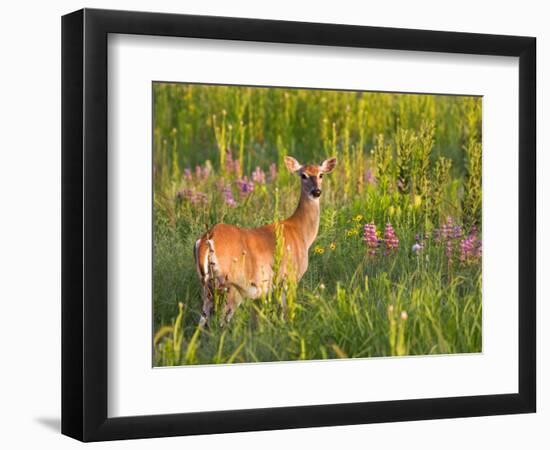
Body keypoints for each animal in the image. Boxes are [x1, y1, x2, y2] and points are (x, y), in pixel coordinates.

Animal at [196, 156, 338, 326]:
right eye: (303, 175)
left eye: (321, 174)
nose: (316, 191)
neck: (301, 232)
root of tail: (207, 238)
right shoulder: (290, 276)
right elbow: (287, 312)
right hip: (230, 283)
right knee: (222, 320)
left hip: (207, 285)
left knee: (202, 319)